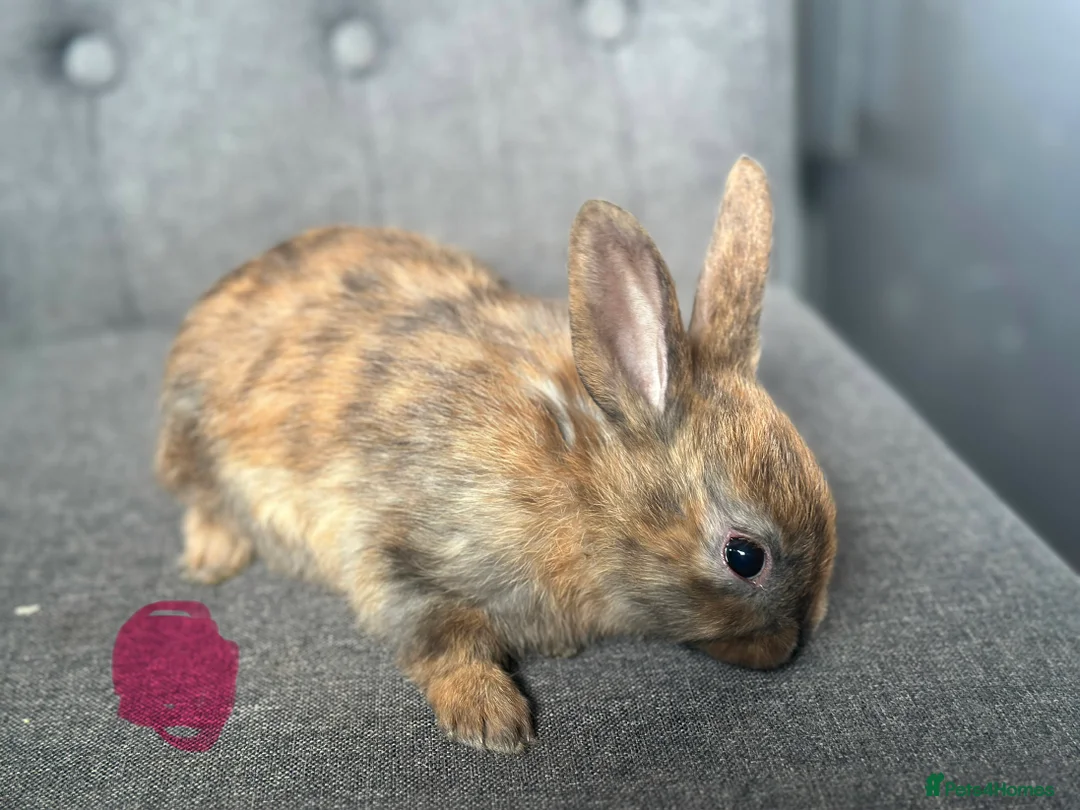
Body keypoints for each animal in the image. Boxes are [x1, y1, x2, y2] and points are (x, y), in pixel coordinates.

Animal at [154, 156, 837, 755]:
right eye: (744, 557)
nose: (793, 645)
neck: (581, 484)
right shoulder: (400, 550)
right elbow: (438, 639)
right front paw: (492, 721)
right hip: (193, 446)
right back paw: (212, 560)